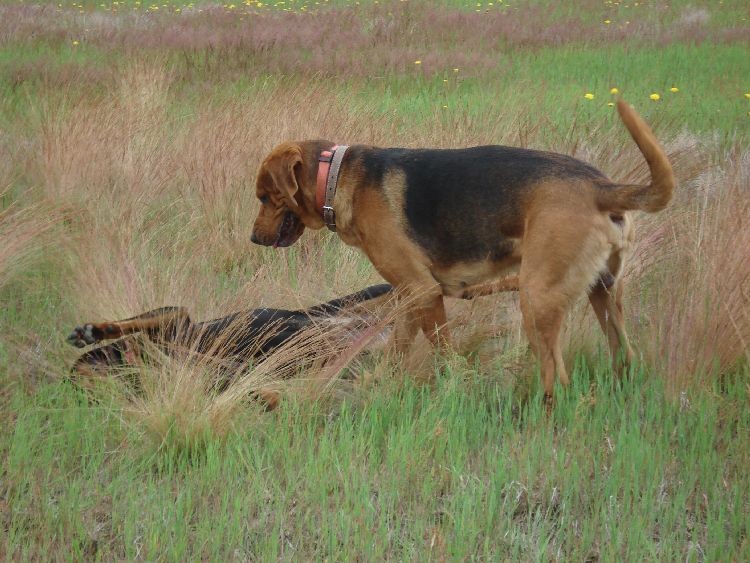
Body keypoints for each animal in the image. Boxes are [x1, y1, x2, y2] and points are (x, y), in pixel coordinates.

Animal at [251, 100, 676, 400]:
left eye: (265, 196)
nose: (254, 238)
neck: (336, 175)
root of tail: (602, 187)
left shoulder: (422, 291)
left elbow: (442, 352)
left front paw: (453, 386)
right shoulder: (412, 296)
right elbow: (399, 350)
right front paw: (380, 384)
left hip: (536, 299)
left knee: (557, 376)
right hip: (604, 294)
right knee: (623, 356)